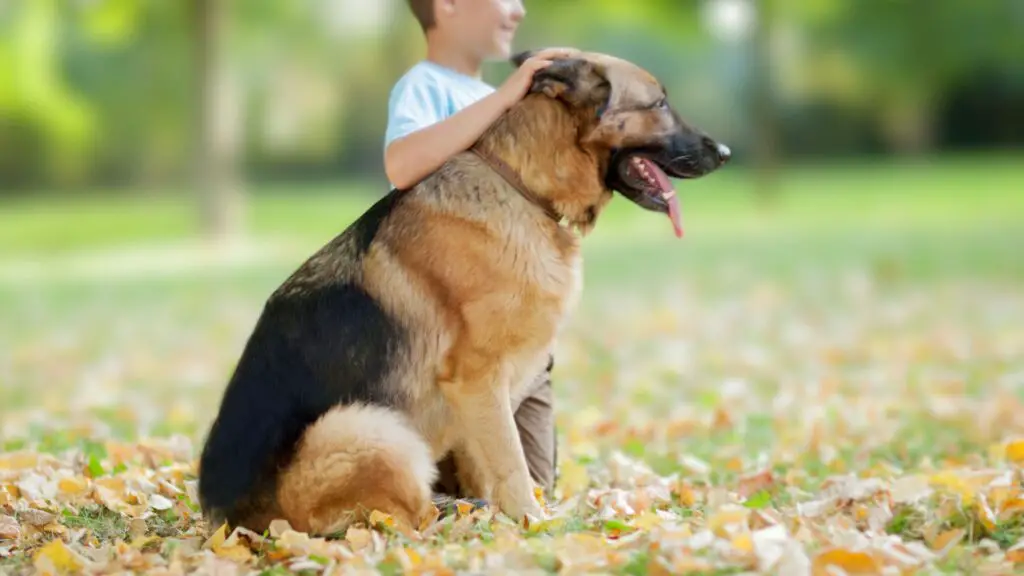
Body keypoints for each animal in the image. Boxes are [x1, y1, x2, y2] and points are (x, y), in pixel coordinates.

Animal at [195, 48, 733, 532]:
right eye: (659, 103)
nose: (726, 152)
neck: (522, 187)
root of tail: (227, 522)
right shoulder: (478, 378)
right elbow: (512, 463)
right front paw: (533, 525)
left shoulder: (481, 399)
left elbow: (488, 465)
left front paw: (505, 520)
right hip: (367, 427)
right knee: (399, 518)